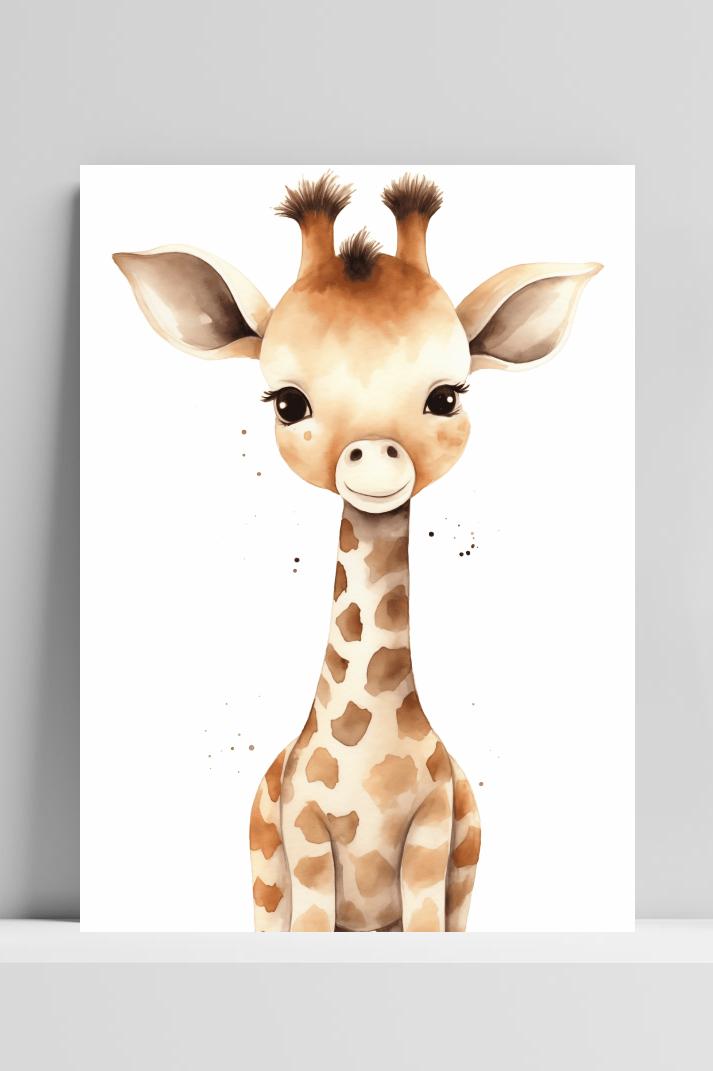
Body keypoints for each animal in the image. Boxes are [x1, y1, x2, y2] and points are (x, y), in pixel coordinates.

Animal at [114, 171, 601, 931]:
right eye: (288, 403)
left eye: (446, 397)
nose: (372, 457)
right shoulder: (306, 847)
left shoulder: (432, 846)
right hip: (264, 885)